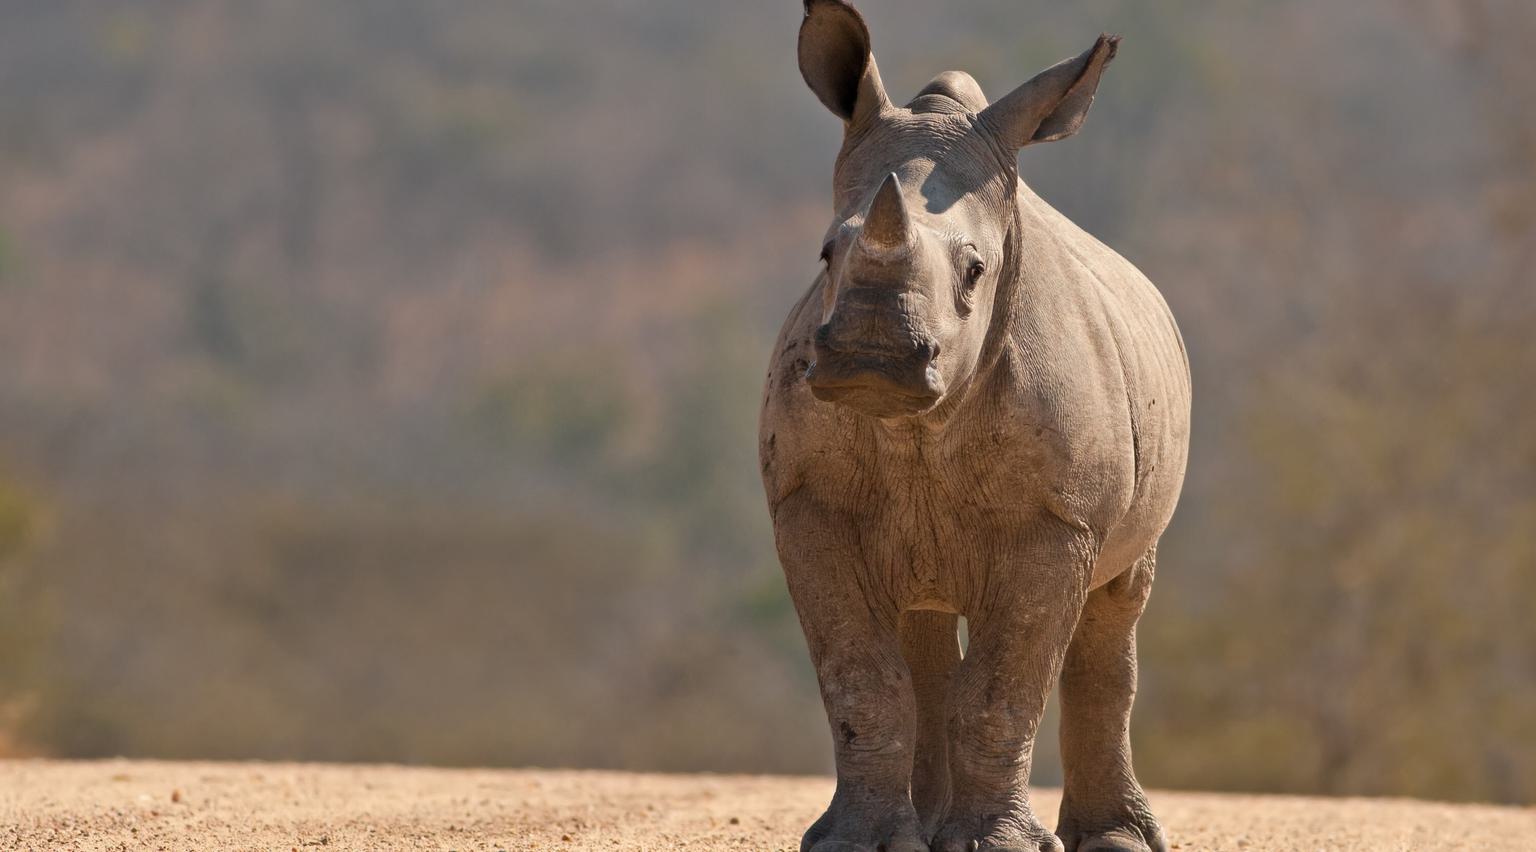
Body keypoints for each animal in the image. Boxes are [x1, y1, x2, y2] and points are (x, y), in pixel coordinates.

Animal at [758, 3, 1191, 851]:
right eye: (826, 253)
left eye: (975, 272)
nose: (873, 358)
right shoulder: (808, 504)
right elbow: (860, 682)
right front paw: (856, 843)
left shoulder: (1057, 520)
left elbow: (1002, 689)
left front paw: (998, 845)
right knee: (921, 630)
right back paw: (920, 829)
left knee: (1115, 611)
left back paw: (1115, 838)